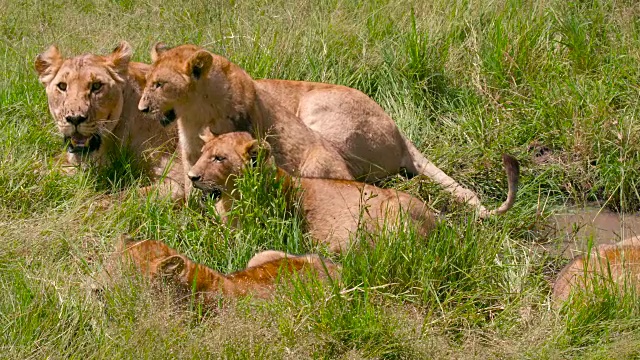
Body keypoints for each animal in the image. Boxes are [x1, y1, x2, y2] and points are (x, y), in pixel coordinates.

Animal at [139, 42, 516, 217]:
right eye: (147, 83)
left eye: (159, 85)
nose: (142, 109)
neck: (194, 112)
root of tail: (399, 132)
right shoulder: (190, 149)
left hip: (318, 114)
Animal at [186, 130, 520, 253]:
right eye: (203, 153)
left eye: (219, 158)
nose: (192, 176)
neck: (230, 200)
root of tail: (436, 215)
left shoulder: (263, 233)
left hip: (392, 217)